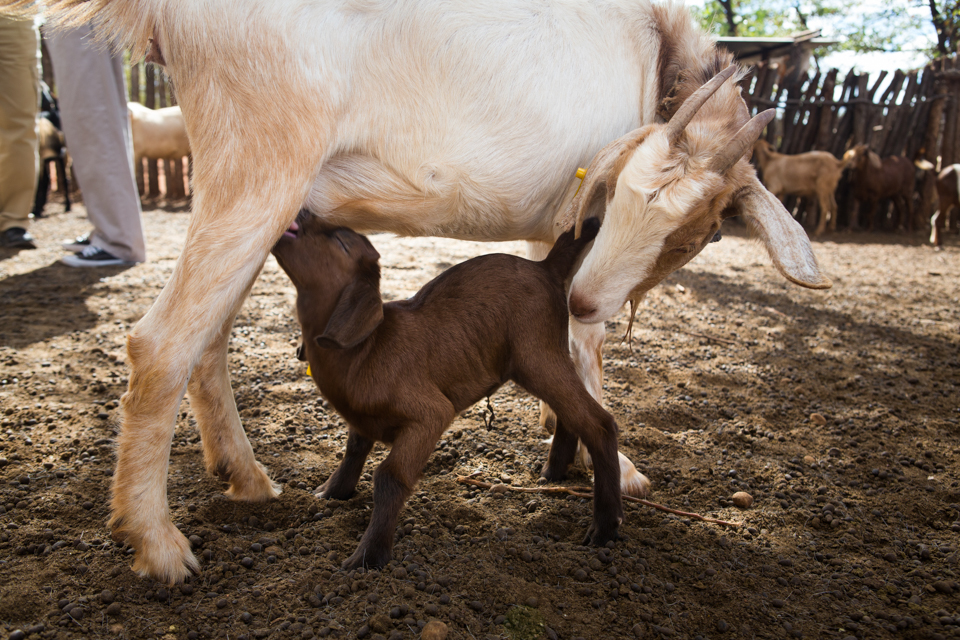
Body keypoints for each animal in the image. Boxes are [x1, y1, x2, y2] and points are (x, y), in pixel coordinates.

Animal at [18, 0, 836, 584]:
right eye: (623, 197)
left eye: (701, 234)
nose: (587, 297)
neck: (654, 47)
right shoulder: (572, 225)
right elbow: (586, 348)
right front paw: (622, 468)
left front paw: (562, 437)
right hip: (261, 152)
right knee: (162, 341)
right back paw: (158, 546)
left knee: (208, 333)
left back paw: (243, 478)